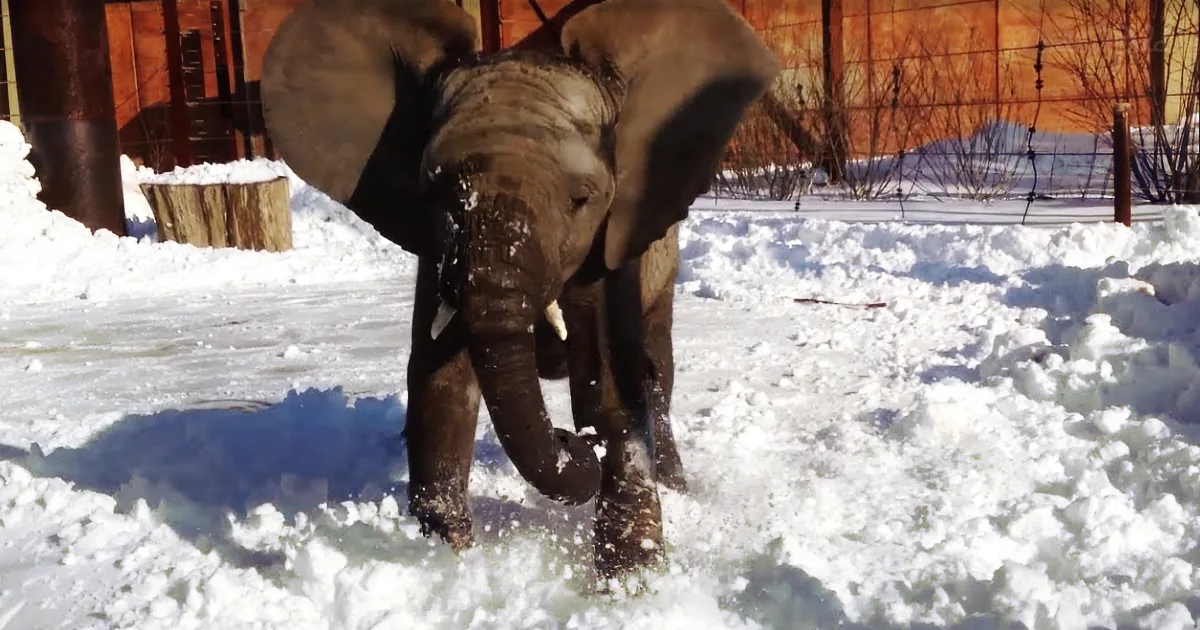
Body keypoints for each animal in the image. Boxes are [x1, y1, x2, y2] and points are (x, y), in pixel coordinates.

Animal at [260, 0, 779, 581]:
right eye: (433, 191)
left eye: (582, 199)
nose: (573, 442)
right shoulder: (438, 252)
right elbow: (441, 377)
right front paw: (446, 562)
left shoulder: (613, 240)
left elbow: (614, 377)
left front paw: (630, 579)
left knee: (655, 366)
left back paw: (674, 484)